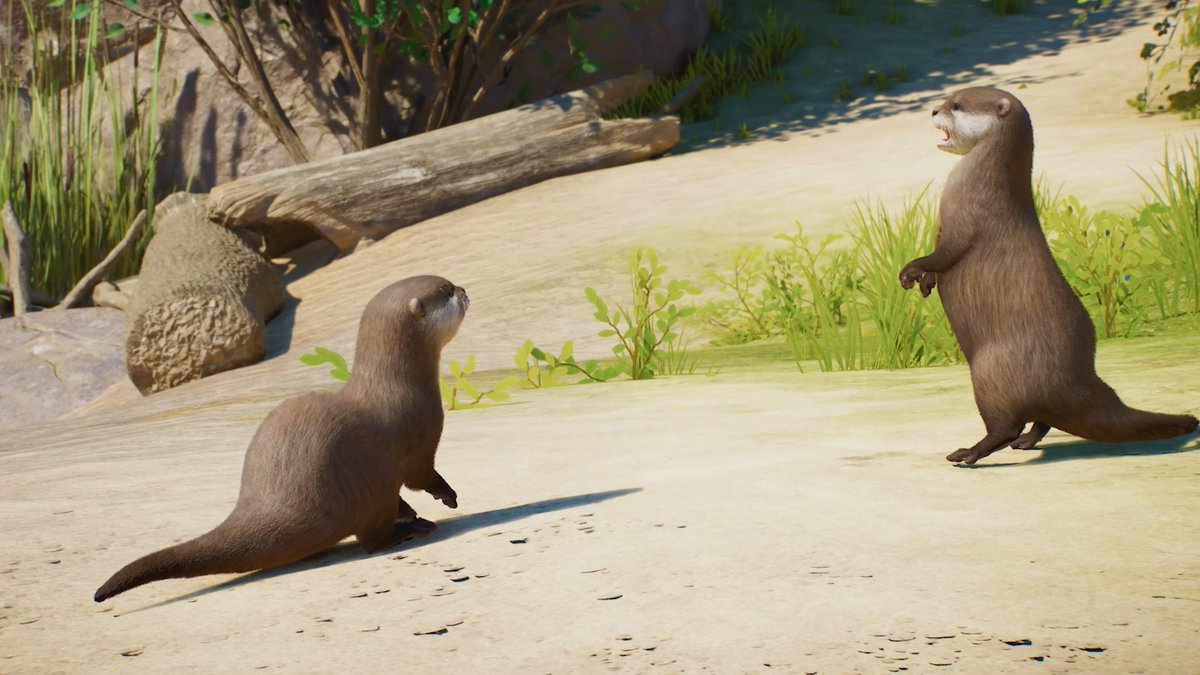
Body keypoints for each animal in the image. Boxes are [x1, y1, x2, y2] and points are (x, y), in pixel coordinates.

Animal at [94, 275, 469, 602]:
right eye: (446, 290)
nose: (464, 289)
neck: (397, 384)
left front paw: (416, 508)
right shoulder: (418, 444)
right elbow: (421, 477)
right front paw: (447, 496)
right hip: (367, 485)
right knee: (371, 538)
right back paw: (412, 529)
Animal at [899, 86, 1198, 465]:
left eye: (956, 104)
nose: (934, 110)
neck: (980, 179)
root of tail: (1074, 381)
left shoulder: (969, 218)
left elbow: (945, 253)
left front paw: (911, 271)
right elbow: (938, 260)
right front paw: (925, 282)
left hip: (990, 374)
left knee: (1006, 426)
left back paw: (970, 454)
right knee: (1042, 419)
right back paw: (1027, 441)